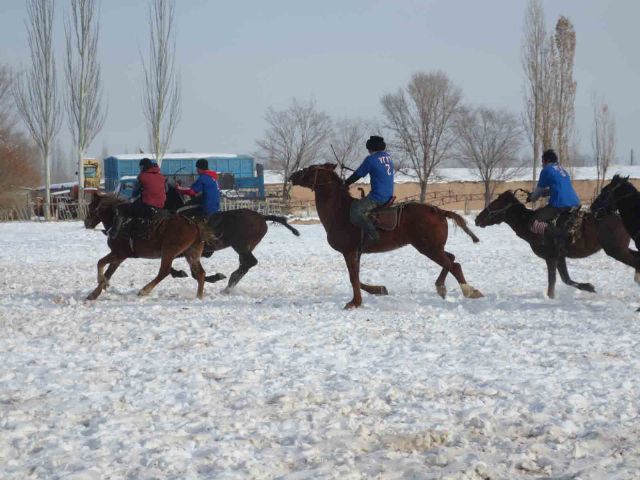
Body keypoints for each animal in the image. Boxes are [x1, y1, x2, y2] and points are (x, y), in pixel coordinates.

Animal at [288, 163, 483, 309]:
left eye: (309, 169)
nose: (292, 175)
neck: (339, 211)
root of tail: (439, 211)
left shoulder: (349, 251)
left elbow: (353, 277)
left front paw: (355, 302)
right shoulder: (356, 253)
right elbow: (356, 277)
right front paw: (378, 289)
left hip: (429, 248)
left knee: (453, 265)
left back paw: (470, 291)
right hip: (434, 247)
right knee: (451, 259)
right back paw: (441, 287)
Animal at [475, 190, 640, 298]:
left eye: (496, 204)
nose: (477, 219)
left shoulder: (551, 257)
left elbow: (552, 282)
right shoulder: (560, 257)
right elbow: (566, 279)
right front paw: (588, 287)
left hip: (616, 250)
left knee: (635, 262)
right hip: (622, 249)